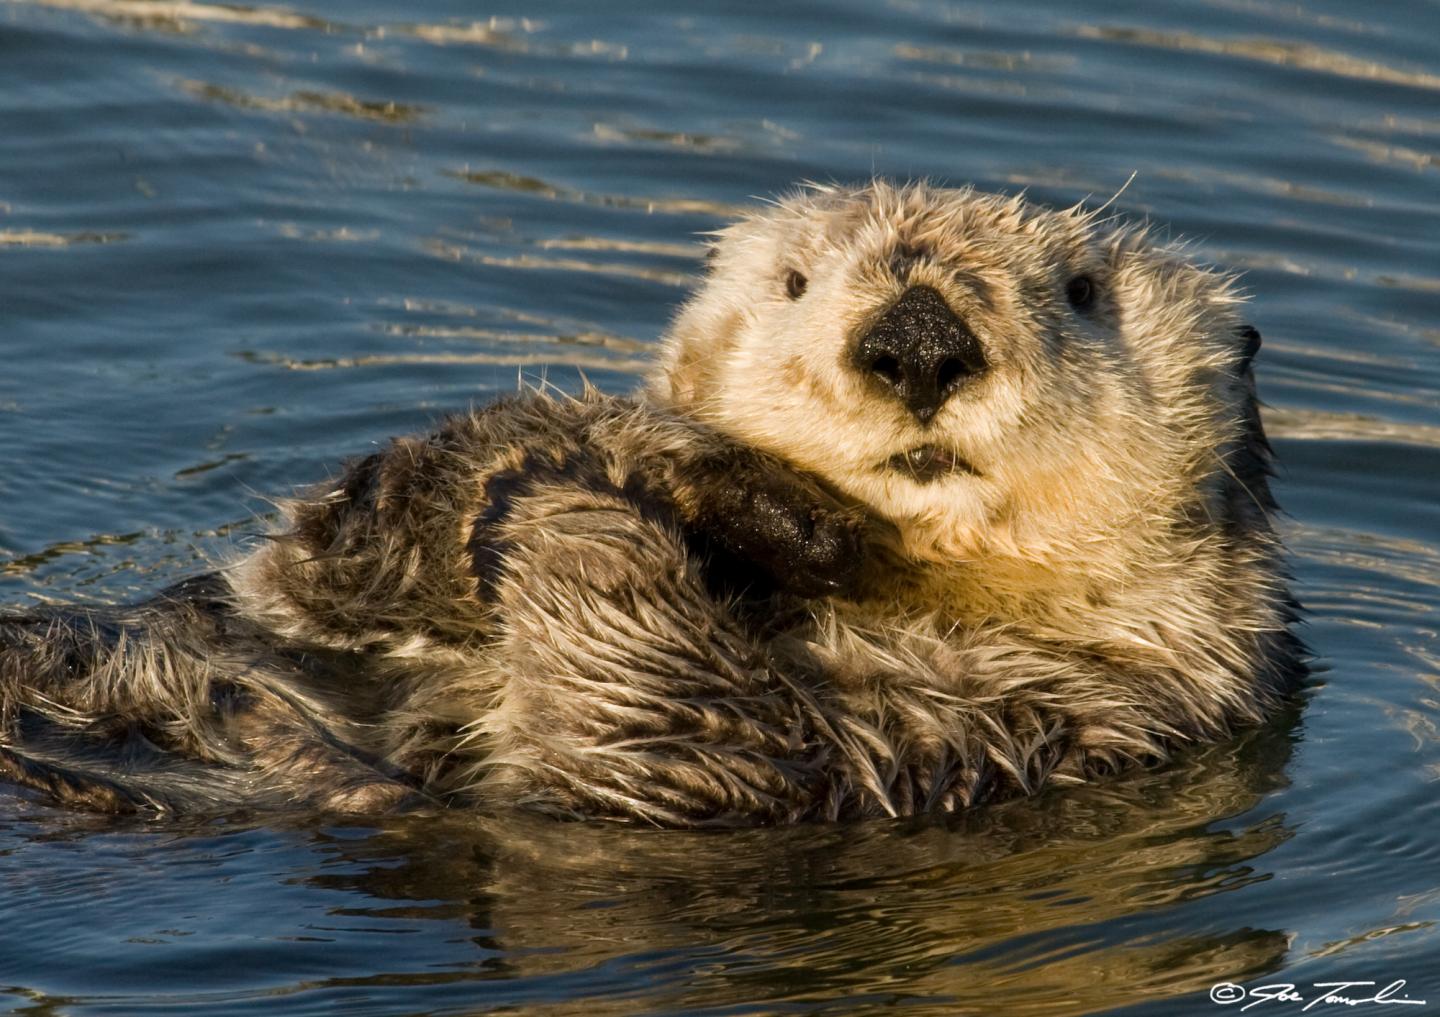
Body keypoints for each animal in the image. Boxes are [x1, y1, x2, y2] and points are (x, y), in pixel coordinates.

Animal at [0, 181, 1303, 824]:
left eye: (1083, 292)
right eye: (795, 283)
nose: (919, 340)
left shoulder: (1065, 712)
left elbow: (673, 733)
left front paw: (579, 495)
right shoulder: (302, 596)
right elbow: (319, 560)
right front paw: (618, 446)